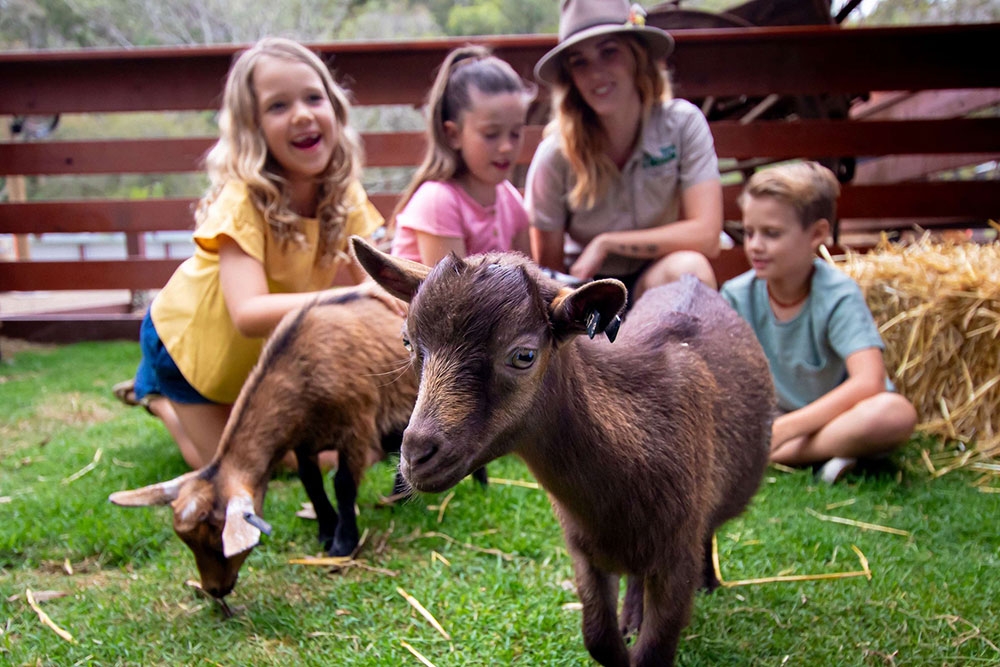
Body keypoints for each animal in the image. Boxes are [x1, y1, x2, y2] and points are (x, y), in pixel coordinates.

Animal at [108, 292, 419, 599]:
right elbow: (311, 482)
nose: (215, 590)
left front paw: (343, 545)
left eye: (218, 540)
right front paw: (326, 531)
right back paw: (395, 499)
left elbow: (342, 484)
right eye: (189, 542)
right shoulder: (303, 439)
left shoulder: (356, 426)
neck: (304, 366)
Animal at [352, 237, 774, 666]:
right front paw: (623, 631)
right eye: (407, 341)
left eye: (524, 355)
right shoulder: (584, 552)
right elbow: (599, 638)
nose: (416, 456)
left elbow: (652, 652)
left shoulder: (676, 559)